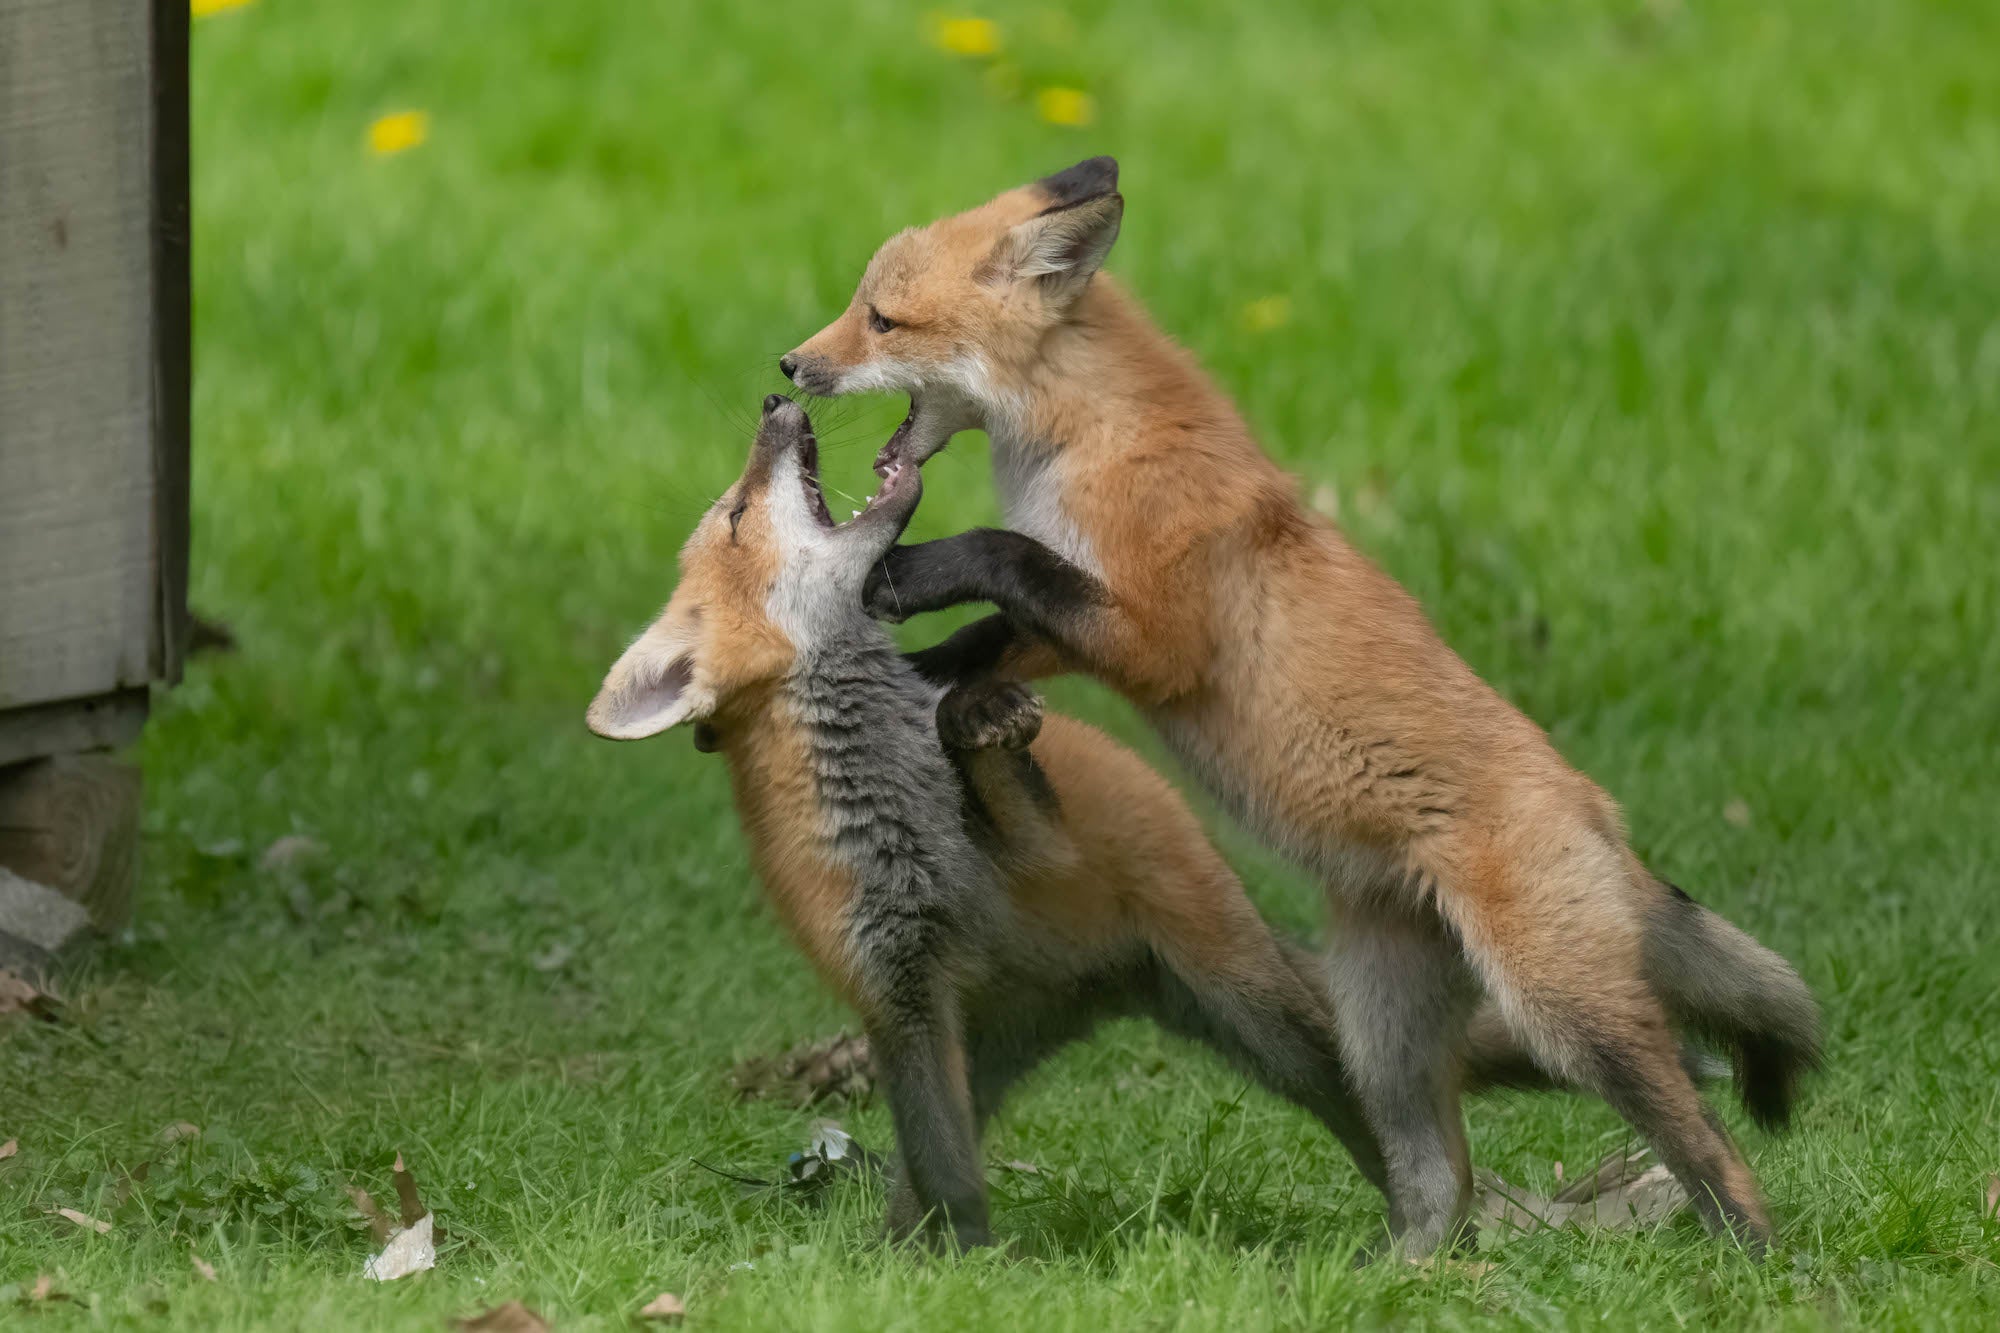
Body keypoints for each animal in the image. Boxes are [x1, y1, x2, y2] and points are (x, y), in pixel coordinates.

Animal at [588, 396, 1583, 1250]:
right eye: (735, 517)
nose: (771, 402)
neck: (896, 805)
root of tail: (1086, 997)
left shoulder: (1045, 852)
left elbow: (986, 761)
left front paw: (976, 720)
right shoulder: (900, 998)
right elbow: (945, 1170)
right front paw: (955, 1266)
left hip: (1255, 1013)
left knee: (1368, 1109)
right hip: (985, 1047)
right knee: (927, 1167)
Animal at [781, 157, 1822, 1254]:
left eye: (882, 320)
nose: (790, 364)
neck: (1086, 440)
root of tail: (1604, 818)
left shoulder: (1155, 640)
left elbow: (1000, 553)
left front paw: (907, 575)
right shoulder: (1083, 634)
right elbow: (986, 635)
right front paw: (923, 673)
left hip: (1560, 1012)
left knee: (1701, 1135)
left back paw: (1750, 1251)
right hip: (1383, 1035)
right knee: (1440, 1179)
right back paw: (1401, 1270)